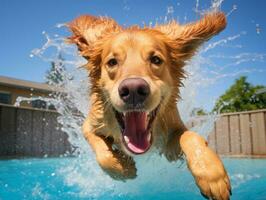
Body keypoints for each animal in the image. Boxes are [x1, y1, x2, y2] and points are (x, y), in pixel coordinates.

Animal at [68, 11, 231, 199]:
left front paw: (211, 174)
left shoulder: (171, 140)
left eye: (156, 59)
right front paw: (122, 169)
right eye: (112, 62)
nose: (133, 90)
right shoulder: (91, 123)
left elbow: (189, 136)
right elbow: (101, 152)